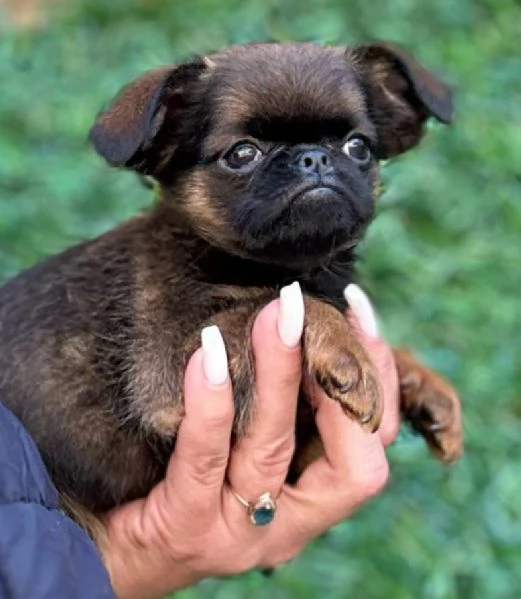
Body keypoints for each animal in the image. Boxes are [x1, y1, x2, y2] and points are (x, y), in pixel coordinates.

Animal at [0, 43, 462, 524]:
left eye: (358, 147)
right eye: (242, 155)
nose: (314, 157)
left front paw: (424, 384)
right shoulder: (170, 367)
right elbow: (282, 303)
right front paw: (348, 351)